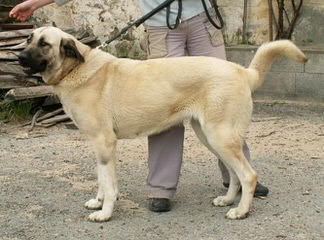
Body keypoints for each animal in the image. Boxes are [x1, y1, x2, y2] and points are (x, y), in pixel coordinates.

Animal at [17, 25, 306, 221]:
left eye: (45, 43)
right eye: (29, 38)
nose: (19, 57)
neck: (76, 69)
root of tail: (243, 71)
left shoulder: (105, 142)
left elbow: (110, 185)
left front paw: (105, 213)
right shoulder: (98, 145)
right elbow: (102, 178)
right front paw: (98, 202)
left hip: (220, 136)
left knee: (248, 175)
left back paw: (241, 211)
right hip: (210, 138)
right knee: (235, 174)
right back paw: (226, 200)